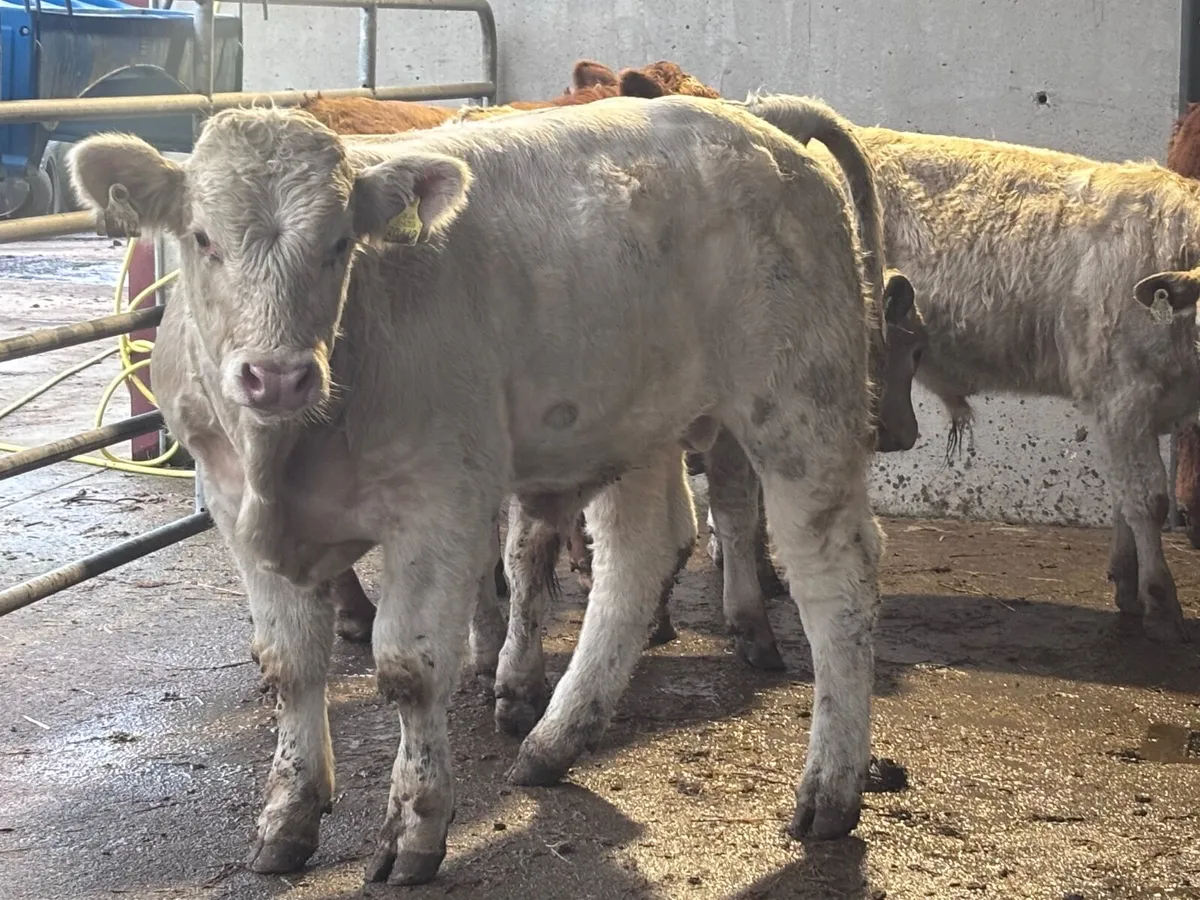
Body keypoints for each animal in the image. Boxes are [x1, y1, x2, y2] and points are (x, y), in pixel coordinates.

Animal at [69, 94, 890, 884]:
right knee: (638, 559)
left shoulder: (441, 501)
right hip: (638, 417)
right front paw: (287, 817)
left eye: (338, 244)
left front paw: (415, 827)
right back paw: (555, 741)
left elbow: (409, 668)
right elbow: (289, 665)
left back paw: (830, 789)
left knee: (835, 580)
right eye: (203, 238)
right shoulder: (234, 505)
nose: (277, 376)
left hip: (803, 402)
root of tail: (761, 123)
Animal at [709, 92, 1199, 646]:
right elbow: (1147, 502)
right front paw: (1162, 602)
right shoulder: (1124, 396)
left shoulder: (1125, 410)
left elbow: (1123, 497)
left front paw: (1127, 584)